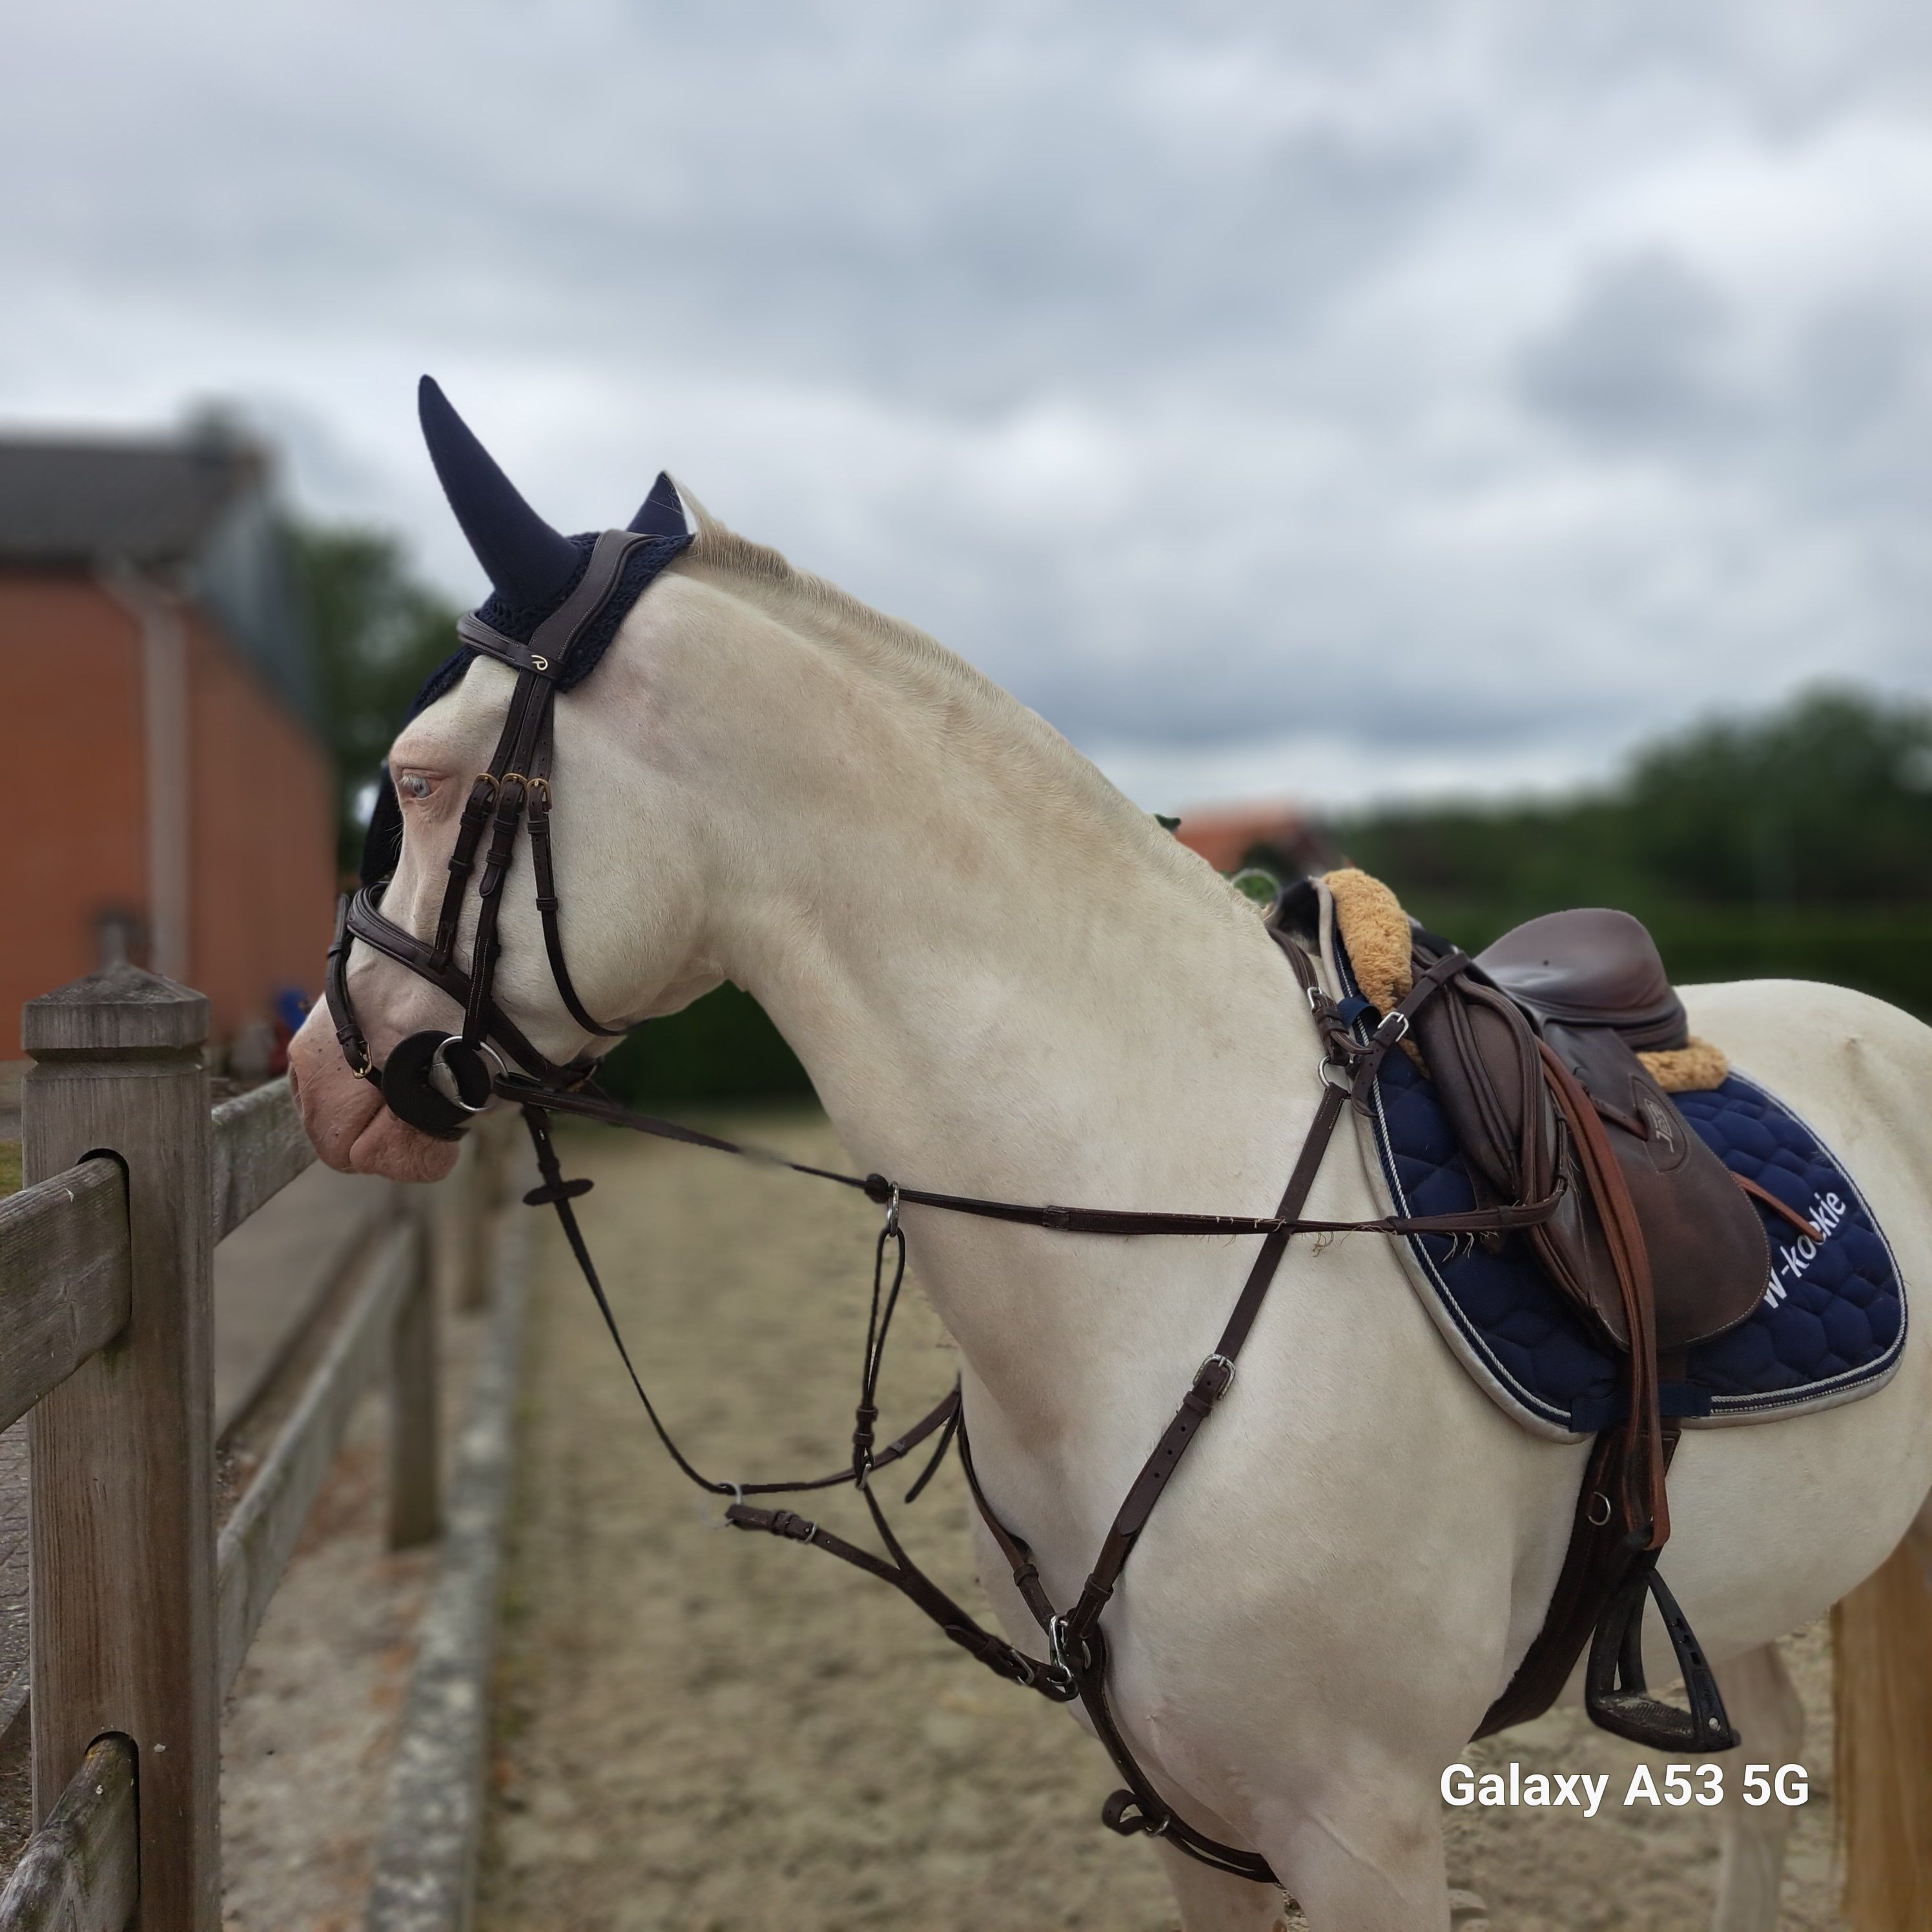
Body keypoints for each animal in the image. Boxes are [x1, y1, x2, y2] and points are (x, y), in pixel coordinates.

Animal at [288, 412, 1932, 1932]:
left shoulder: (1361, 1827)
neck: (1165, 1236)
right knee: (1766, 1755)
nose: (322, 1067)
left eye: (416, 779)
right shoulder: (1197, 1813)